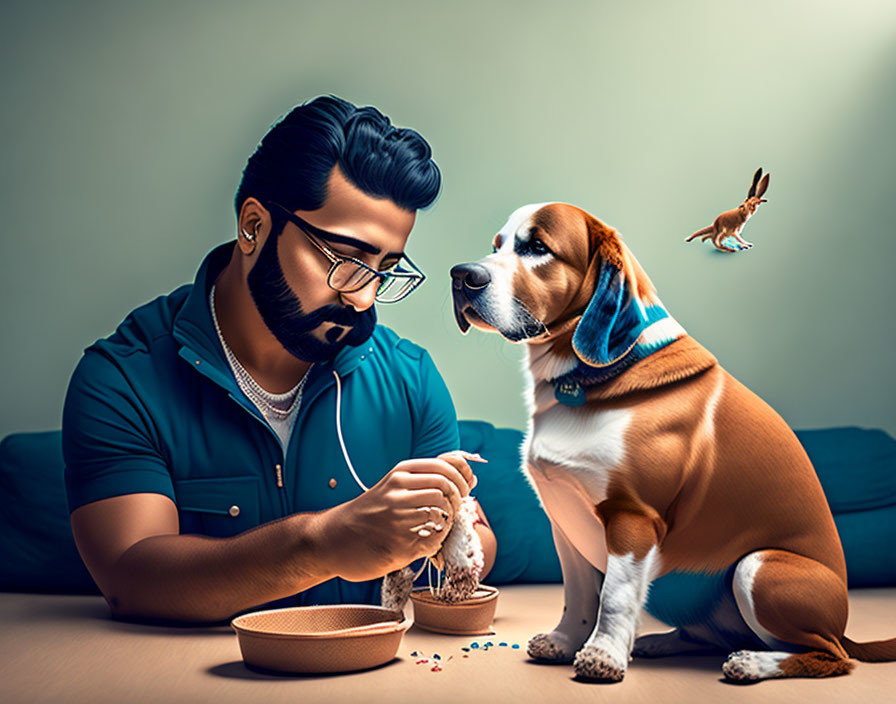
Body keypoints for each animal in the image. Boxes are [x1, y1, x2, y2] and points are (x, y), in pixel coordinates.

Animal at [452, 202, 892, 680]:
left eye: (536, 248)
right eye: (497, 245)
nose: (461, 274)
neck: (588, 377)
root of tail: (845, 625)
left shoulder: (632, 517)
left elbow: (614, 597)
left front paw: (602, 656)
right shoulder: (564, 520)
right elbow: (579, 595)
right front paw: (565, 641)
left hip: (758, 567)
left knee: (831, 656)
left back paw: (751, 663)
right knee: (714, 636)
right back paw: (661, 643)